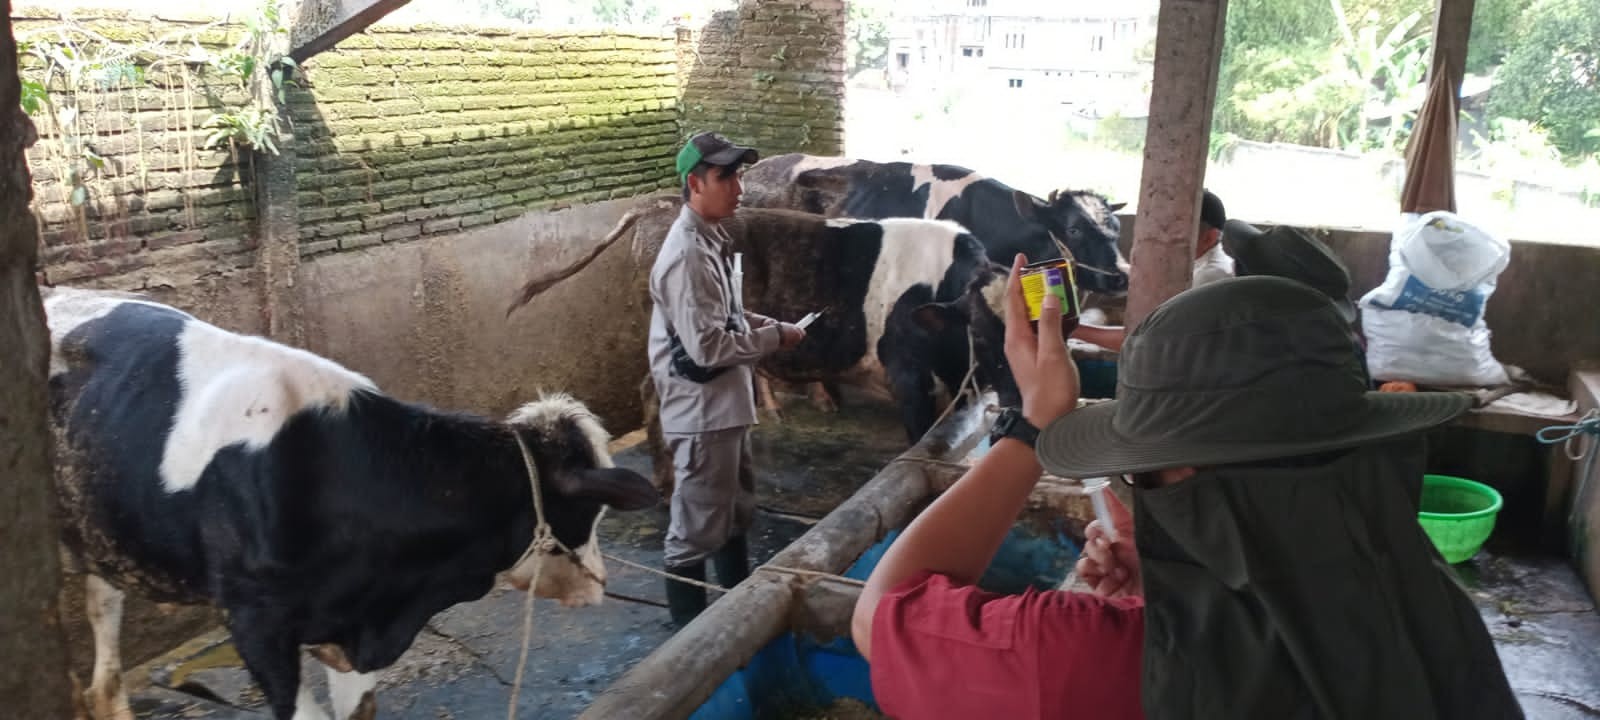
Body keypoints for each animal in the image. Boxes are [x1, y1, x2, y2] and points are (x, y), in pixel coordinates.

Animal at [505, 194, 1017, 492]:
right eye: (979, 331)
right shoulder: (908, 375)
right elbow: (918, 444)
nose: (1018, 399)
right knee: (652, 397)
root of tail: (657, 208)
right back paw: (665, 483)